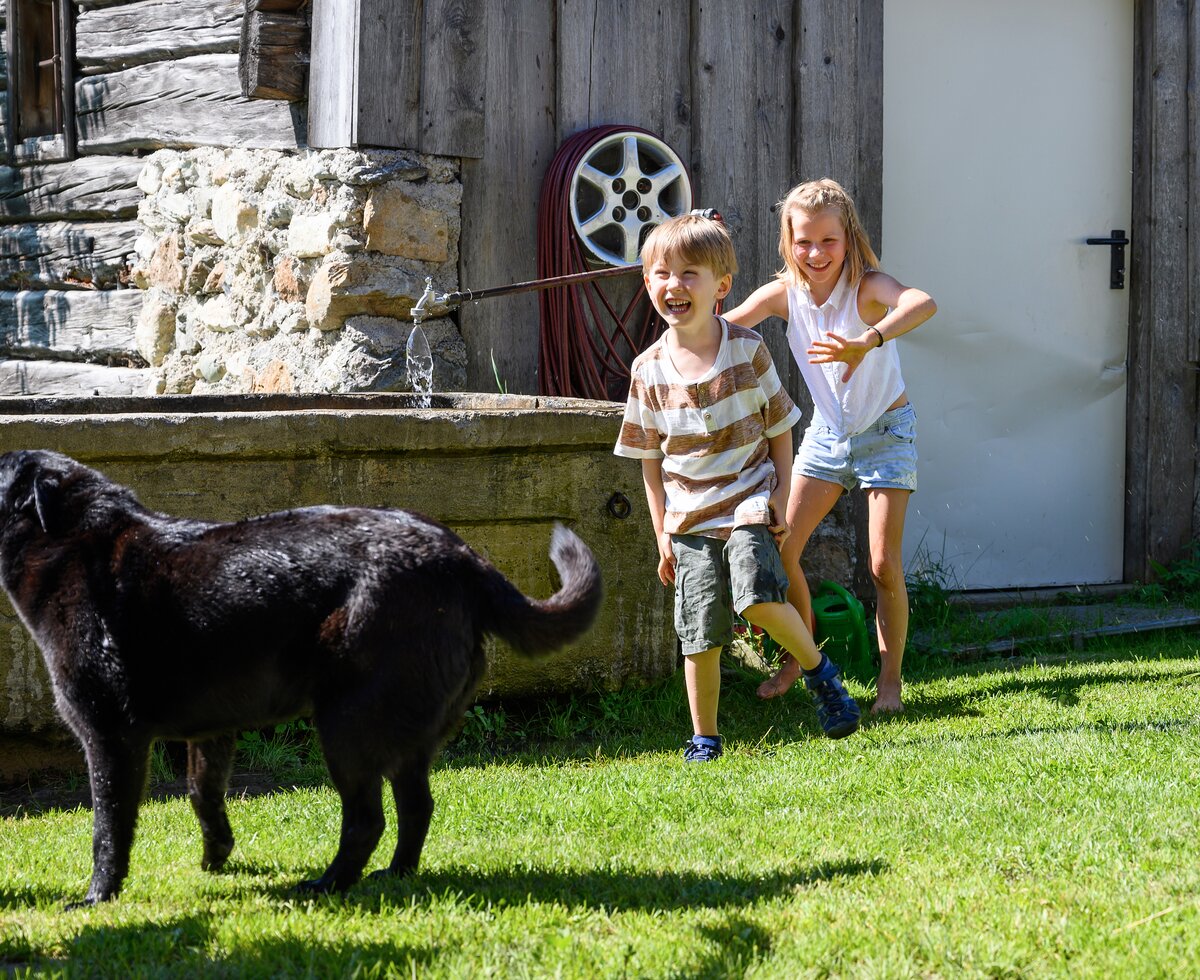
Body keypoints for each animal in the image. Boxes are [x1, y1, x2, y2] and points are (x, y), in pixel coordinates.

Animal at [0, 448, 600, 902]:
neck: (71, 539)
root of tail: (465, 560)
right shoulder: (212, 730)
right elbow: (202, 794)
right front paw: (216, 859)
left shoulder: (111, 736)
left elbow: (109, 828)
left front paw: (97, 897)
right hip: (403, 735)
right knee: (417, 807)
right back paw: (395, 875)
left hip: (347, 725)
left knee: (366, 820)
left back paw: (327, 885)